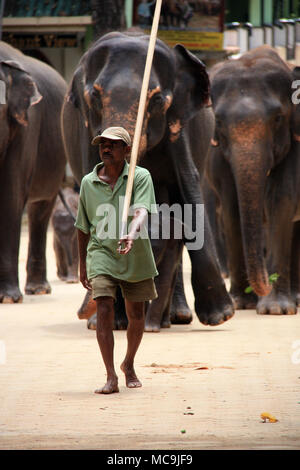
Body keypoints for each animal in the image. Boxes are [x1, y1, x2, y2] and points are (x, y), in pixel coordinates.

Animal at [61, 31, 234, 328]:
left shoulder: (178, 126)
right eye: (94, 95)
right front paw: (108, 322)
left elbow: (189, 191)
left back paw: (178, 317)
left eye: (157, 100)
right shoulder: (87, 132)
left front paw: (221, 316)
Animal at [205, 45, 300, 316]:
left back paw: (294, 298)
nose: (267, 282)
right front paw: (240, 302)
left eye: (278, 118)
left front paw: (275, 309)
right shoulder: (218, 155)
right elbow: (231, 207)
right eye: (219, 121)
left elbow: (282, 200)